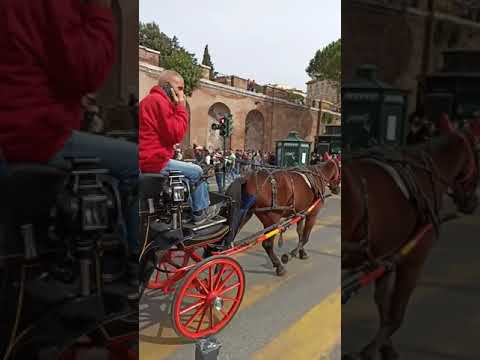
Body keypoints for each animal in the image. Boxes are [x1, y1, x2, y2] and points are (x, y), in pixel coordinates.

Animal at [342, 116, 480, 360]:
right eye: (478, 151)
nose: (473, 204)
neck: (427, 172)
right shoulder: (414, 258)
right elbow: (396, 315)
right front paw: (371, 350)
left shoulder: (385, 256)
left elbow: (383, 305)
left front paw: (385, 346)